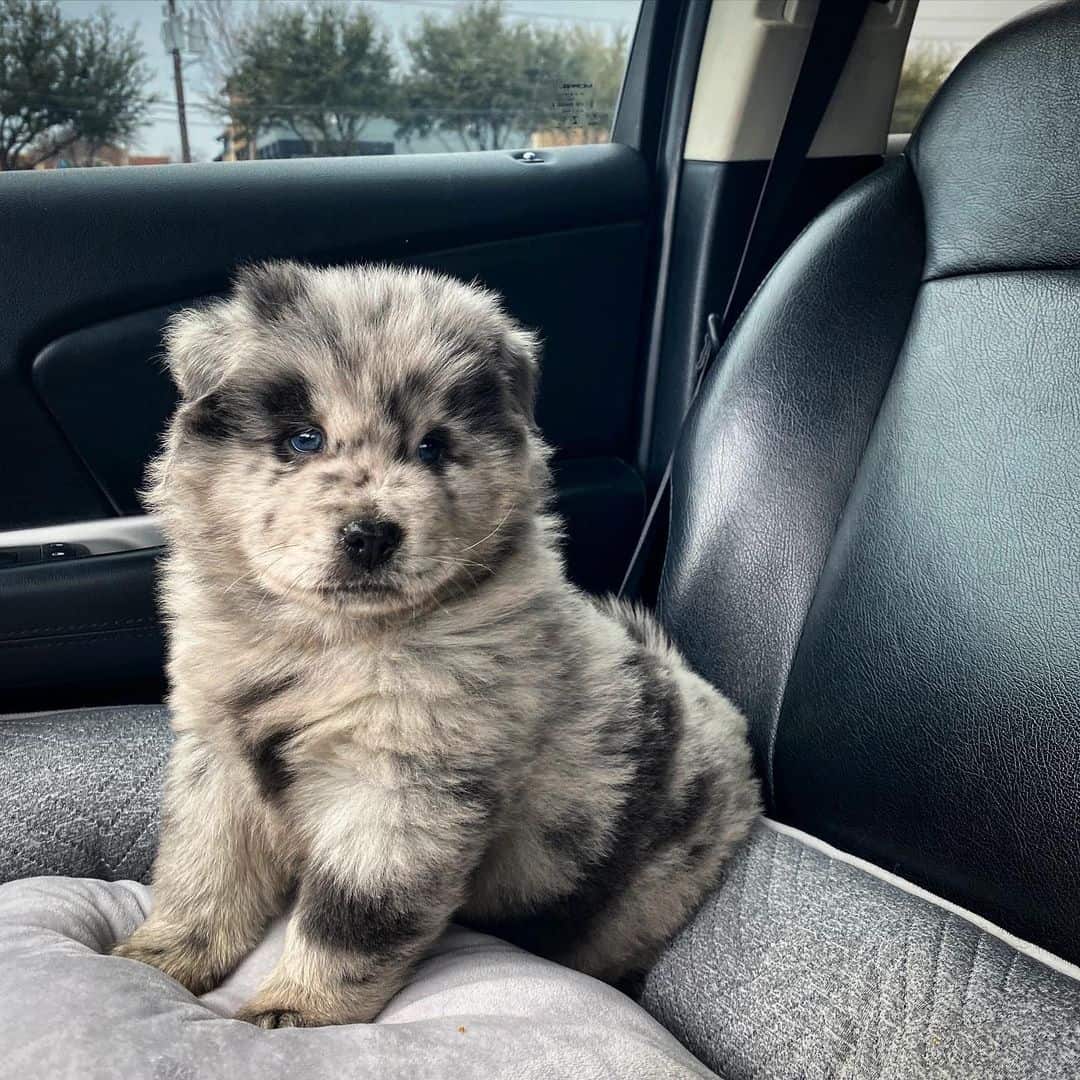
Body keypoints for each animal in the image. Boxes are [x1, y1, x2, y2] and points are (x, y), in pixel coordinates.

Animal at [113, 261, 760, 1028]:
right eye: (303, 439)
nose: (370, 535)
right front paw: (162, 955)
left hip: (647, 886)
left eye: (432, 447)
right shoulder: (218, 756)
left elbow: (351, 917)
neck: (326, 643)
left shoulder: (404, 784)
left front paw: (298, 1007)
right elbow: (202, 868)